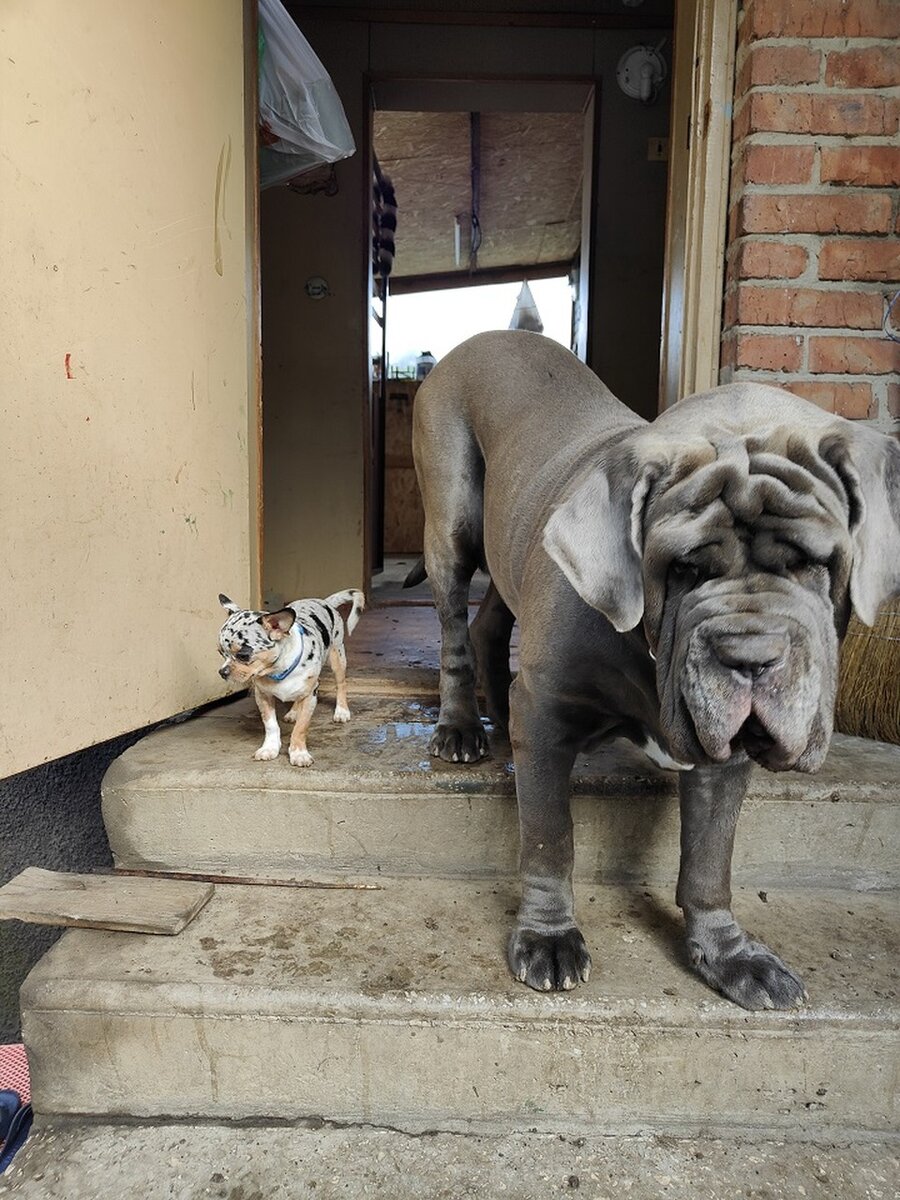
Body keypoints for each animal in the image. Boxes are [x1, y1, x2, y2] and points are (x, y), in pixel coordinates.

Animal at [218, 590, 367, 768]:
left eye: (243, 655)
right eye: (221, 653)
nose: (222, 672)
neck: (278, 670)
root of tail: (324, 602)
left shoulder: (310, 697)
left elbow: (301, 728)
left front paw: (298, 753)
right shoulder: (263, 696)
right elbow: (271, 725)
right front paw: (270, 748)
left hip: (337, 656)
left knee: (341, 684)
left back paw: (342, 711)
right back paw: (294, 712)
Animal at [415, 331, 900, 1012]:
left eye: (814, 563)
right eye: (683, 568)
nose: (750, 657)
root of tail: (484, 339)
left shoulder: (724, 758)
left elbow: (709, 860)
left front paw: (729, 954)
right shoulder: (547, 716)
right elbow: (549, 837)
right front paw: (549, 938)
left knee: (489, 623)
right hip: (452, 520)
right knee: (455, 630)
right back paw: (460, 729)